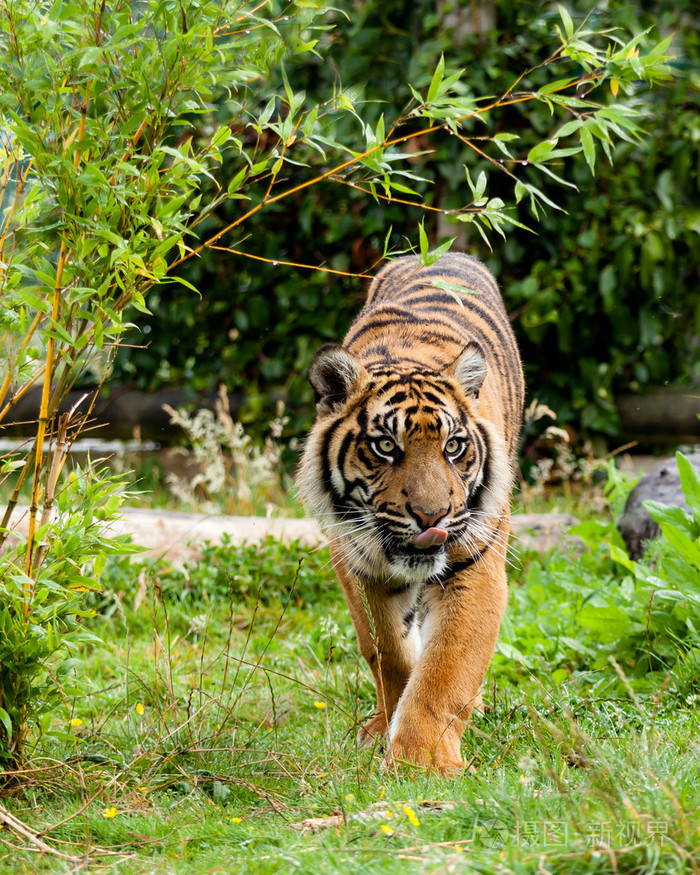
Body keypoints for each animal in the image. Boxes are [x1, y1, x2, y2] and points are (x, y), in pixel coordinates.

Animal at [296, 252, 524, 775]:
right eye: (386, 446)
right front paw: (389, 729)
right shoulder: (358, 563)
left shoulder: (476, 566)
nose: (431, 517)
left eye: (453, 446)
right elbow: (389, 652)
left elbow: (445, 670)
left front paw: (422, 761)